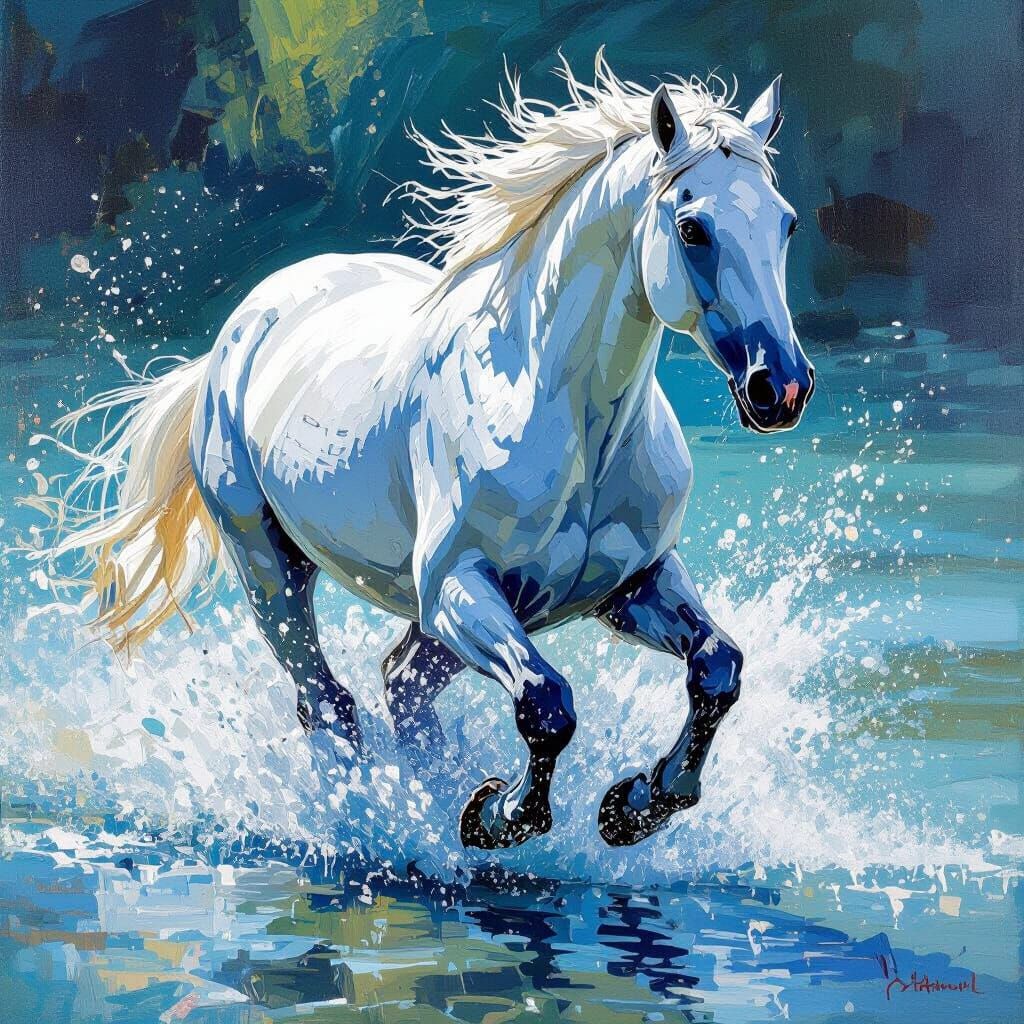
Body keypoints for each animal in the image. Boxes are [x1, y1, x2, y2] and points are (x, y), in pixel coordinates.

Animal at [40, 52, 814, 850]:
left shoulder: (632, 585)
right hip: (271, 565)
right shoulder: (459, 590)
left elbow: (718, 669)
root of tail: (242, 326)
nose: (780, 387)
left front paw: (637, 803)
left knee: (400, 685)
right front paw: (498, 815)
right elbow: (547, 703)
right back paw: (369, 821)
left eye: (786, 223)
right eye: (692, 228)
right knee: (327, 702)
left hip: (432, 618)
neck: (564, 423)